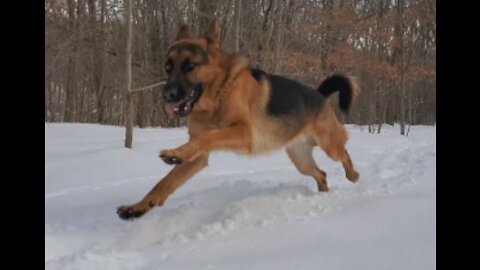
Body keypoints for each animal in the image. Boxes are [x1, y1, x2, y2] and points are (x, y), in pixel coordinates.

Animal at [117, 20, 360, 219]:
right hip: (300, 159)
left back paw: (353, 175)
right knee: (321, 174)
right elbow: (164, 183)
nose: (167, 95)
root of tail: (319, 95)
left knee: (345, 155)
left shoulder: (244, 133)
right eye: (168, 67)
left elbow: (207, 136)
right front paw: (138, 207)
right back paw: (322, 195)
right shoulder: (199, 158)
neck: (218, 93)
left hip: (329, 146)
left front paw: (176, 153)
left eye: (190, 66)